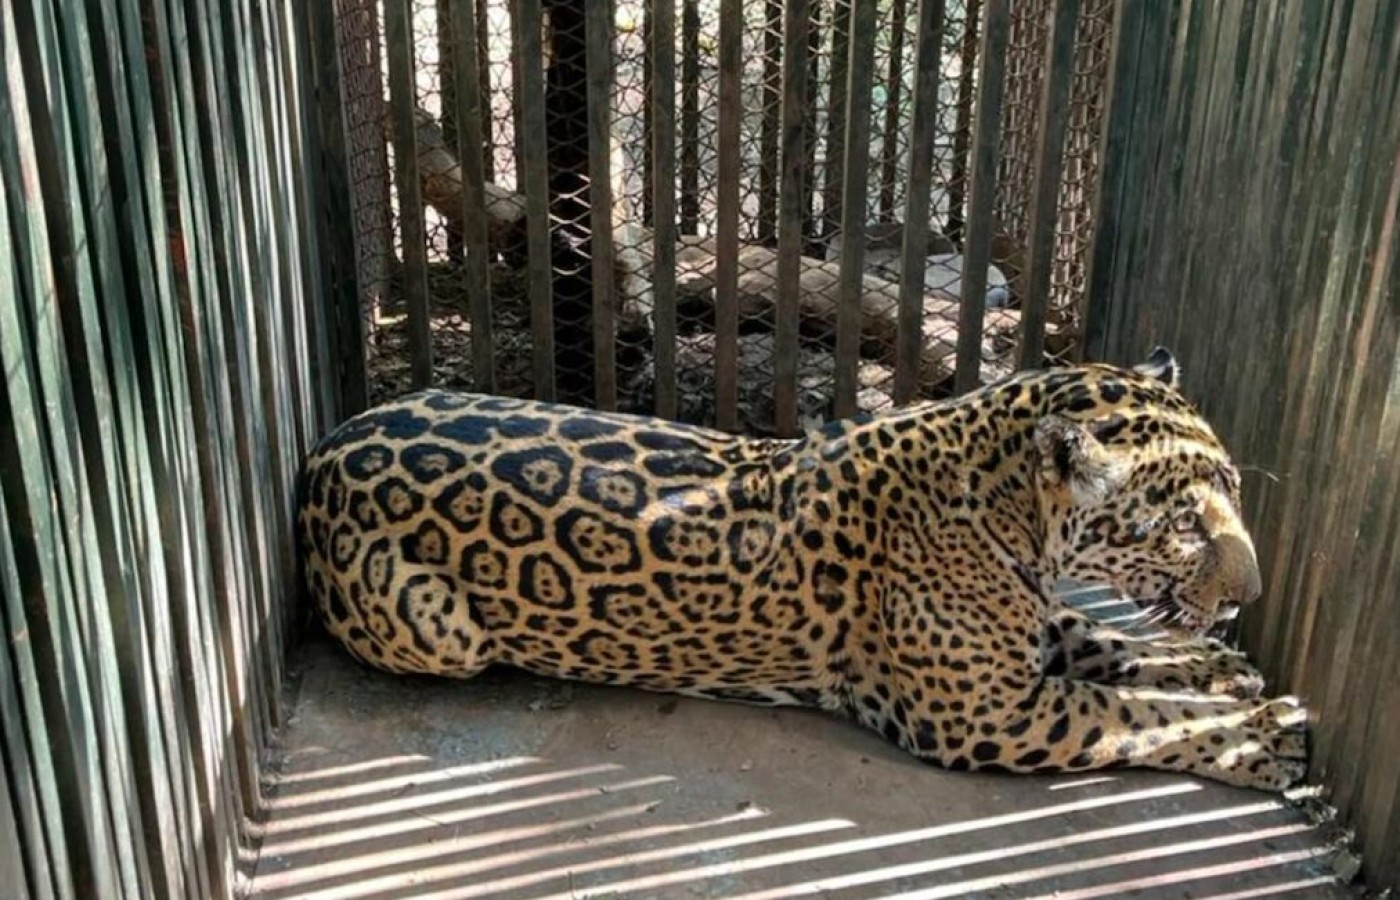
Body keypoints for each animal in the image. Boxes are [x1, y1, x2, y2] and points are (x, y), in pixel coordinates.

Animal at [296, 348, 1307, 791]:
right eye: (1184, 522)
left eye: (1231, 491)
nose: (1252, 595)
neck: (1007, 514)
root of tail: (324, 446)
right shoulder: (988, 717)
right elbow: (1134, 717)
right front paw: (1262, 738)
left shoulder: (1025, 637)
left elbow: (1109, 643)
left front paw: (1221, 669)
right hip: (441, 632)